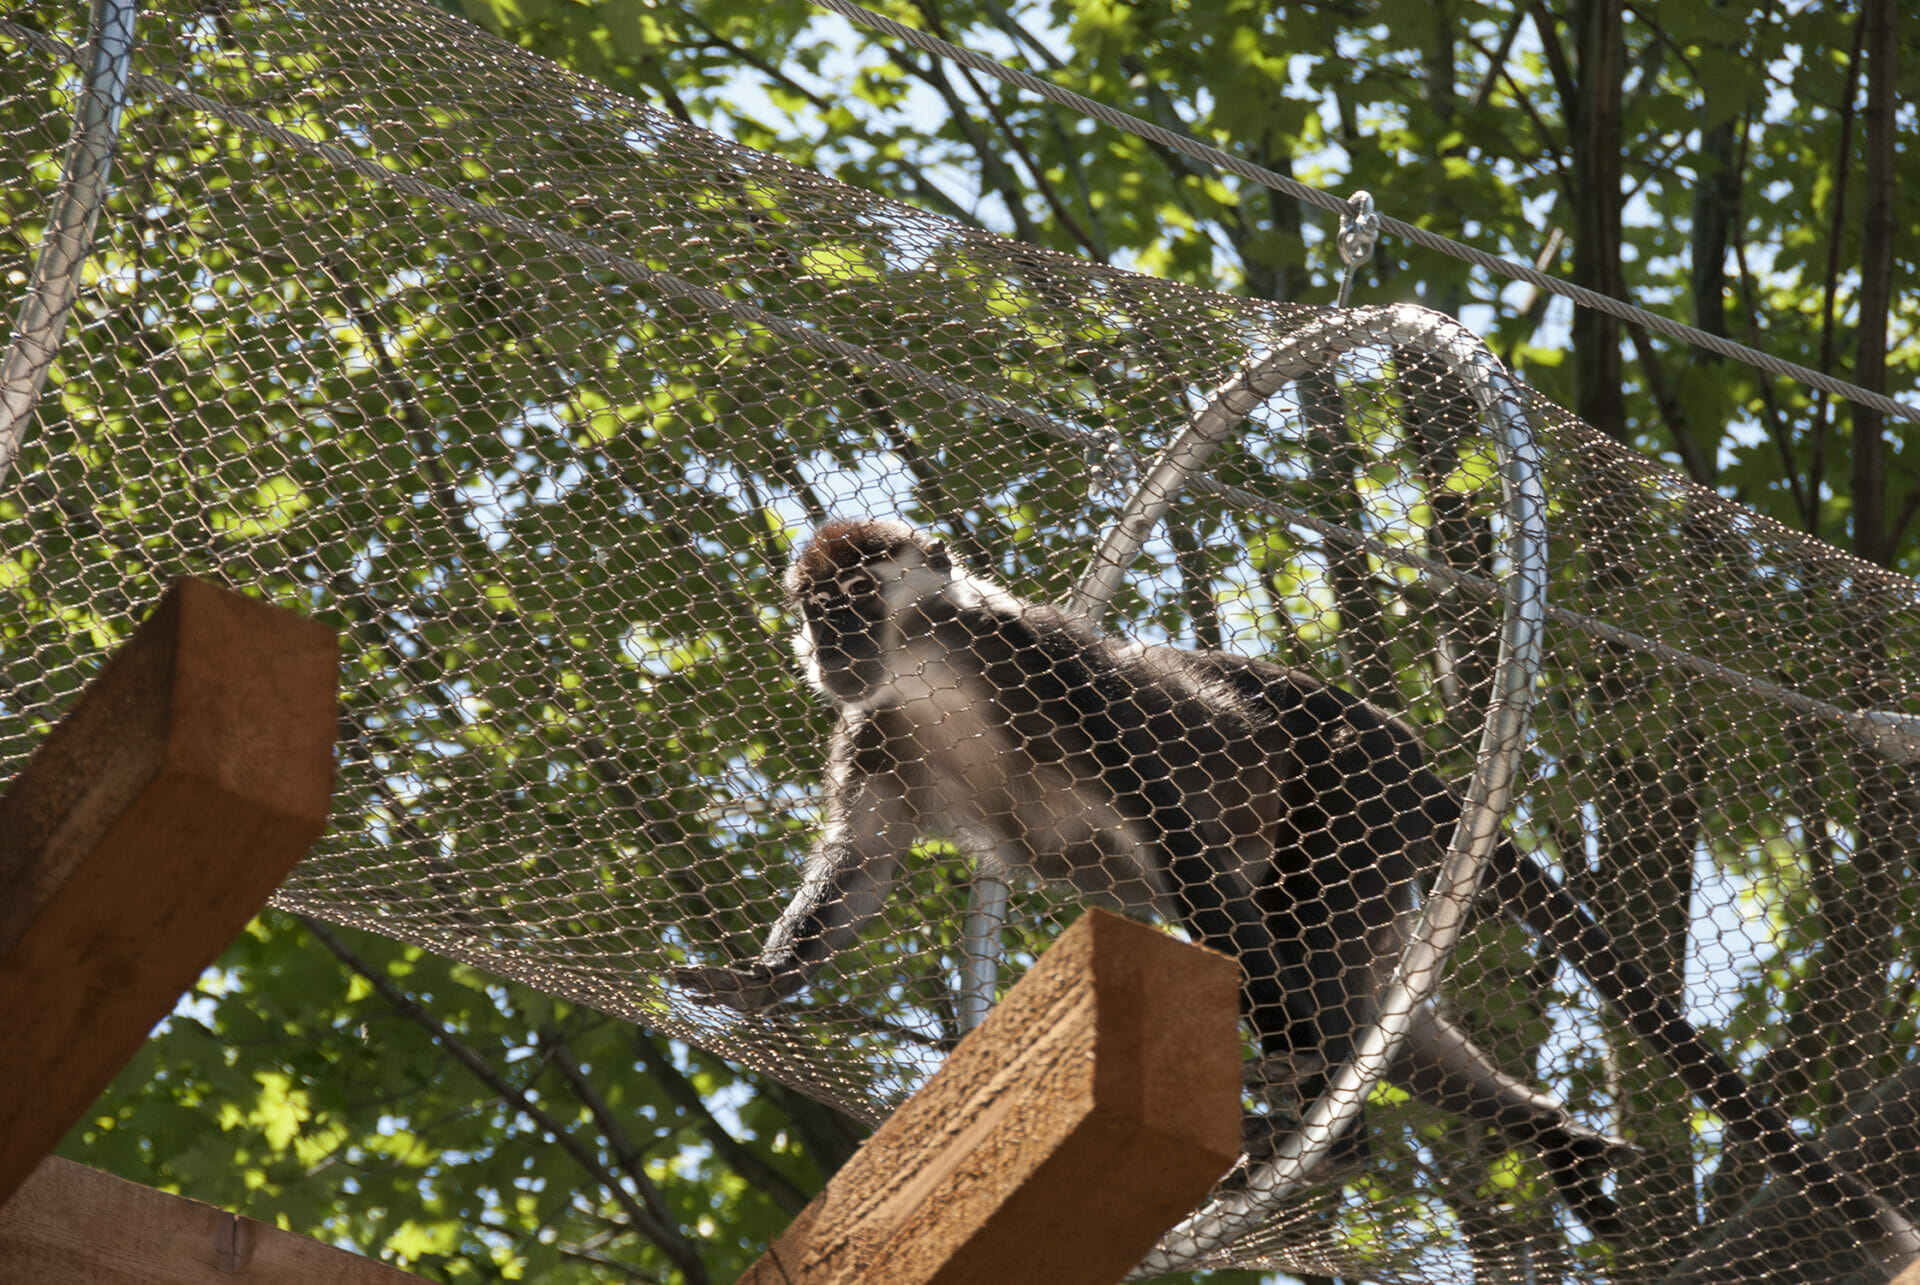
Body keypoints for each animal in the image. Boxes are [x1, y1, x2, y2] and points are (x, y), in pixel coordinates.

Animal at [675, 514, 1904, 1244]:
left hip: (1356, 801)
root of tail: (1417, 772)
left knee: (1289, 928)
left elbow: (1168, 816)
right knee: (1377, 1012)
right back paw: (1532, 1126)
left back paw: (1321, 1113)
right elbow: (865, 864)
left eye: (846, 608)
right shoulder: (873, 729)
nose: (824, 651)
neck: (928, 672)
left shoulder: (1035, 663)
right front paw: (758, 984)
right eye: (811, 616)